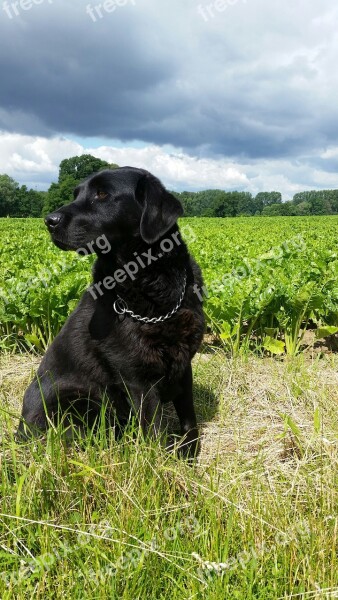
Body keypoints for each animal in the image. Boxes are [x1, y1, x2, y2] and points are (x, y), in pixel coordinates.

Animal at [17, 166, 205, 458]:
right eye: (76, 193)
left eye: (102, 194)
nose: (49, 220)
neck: (153, 288)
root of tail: (19, 431)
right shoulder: (139, 379)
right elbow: (154, 432)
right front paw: (160, 464)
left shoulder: (183, 364)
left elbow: (188, 419)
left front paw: (188, 454)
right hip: (83, 402)